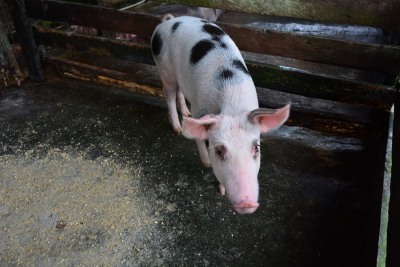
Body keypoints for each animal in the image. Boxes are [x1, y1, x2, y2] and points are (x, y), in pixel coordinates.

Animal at [152, 15, 290, 216]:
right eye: (219, 151)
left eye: (256, 148)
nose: (247, 203)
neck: (232, 107)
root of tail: (168, 21)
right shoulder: (200, 111)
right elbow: (200, 142)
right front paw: (208, 165)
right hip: (164, 68)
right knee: (169, 94)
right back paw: (177, 128)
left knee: (179, 91)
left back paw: (185, 113)